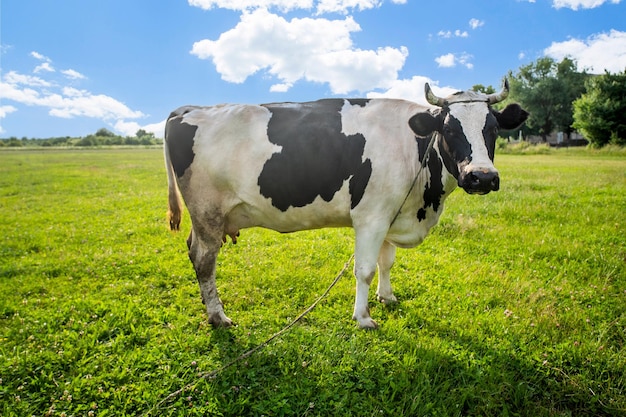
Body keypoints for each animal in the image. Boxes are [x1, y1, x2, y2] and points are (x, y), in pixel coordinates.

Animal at [163, 79, 524, 328]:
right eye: (449, 129)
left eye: (493, 129)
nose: (482, 177)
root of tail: (191, 109)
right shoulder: (371, 217)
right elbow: (364, 269)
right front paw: (363, 317)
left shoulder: (390, 214)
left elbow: (386, 263)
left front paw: (387, 297)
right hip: (208, 214)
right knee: (203, 261)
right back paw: (217, 316)